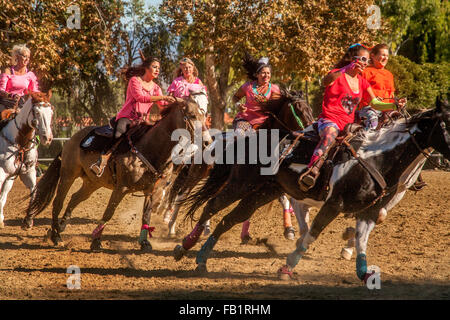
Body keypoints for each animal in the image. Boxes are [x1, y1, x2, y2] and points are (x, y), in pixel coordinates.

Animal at [0, 90, 54, 228]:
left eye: (51, 112)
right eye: (37, 112)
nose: (47, 138)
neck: (20, 143)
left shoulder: (26, 172)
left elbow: (33, 191)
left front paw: (28, 219)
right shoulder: (1, 172)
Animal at [22, 96, 209, 251]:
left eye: (203, 115)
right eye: (192, 115)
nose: (207, 141)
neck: (150, 149)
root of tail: (72, 139)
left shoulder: (152, 191)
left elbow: (146, 216)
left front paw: (144, 242)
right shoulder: (121, 188)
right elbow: (108, 213)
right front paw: (96, 241)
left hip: (92, 183)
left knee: (75, 198)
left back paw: (61, 227)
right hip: (68, 175)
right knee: (58, 202)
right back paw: (56, 236)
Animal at [173, 98, 450, 282]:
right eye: (446, 123)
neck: (376, 157)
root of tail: (251, 138)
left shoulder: (369, 211)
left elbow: (362, 240)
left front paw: (363, 271)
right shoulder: (334, 204)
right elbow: (312, 233)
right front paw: (287, 267)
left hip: (263, 193)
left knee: (231, 218)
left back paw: (200, 257)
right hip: (241, 184)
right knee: (212, 206)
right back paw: (187, 246)